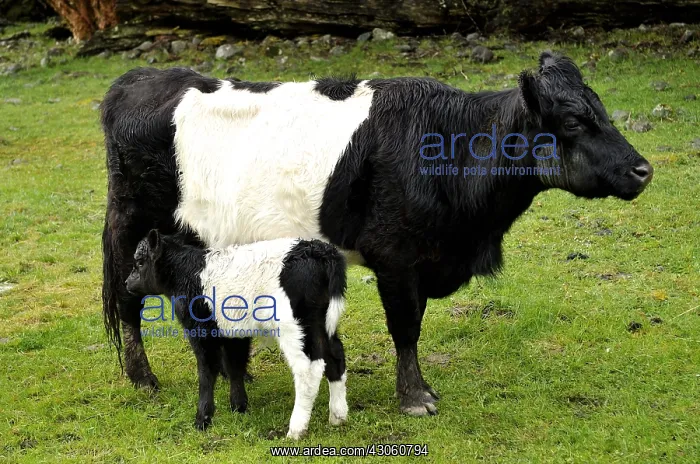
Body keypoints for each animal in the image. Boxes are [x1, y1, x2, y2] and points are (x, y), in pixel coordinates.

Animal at [101, 51, 653, 417]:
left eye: (601, 111)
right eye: (574, 121)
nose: (643, 170)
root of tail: (138, 78)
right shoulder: (397, 258)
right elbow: (405, 329)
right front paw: (415, 397)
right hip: (134, 227)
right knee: (128, 302)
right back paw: (142, 378)